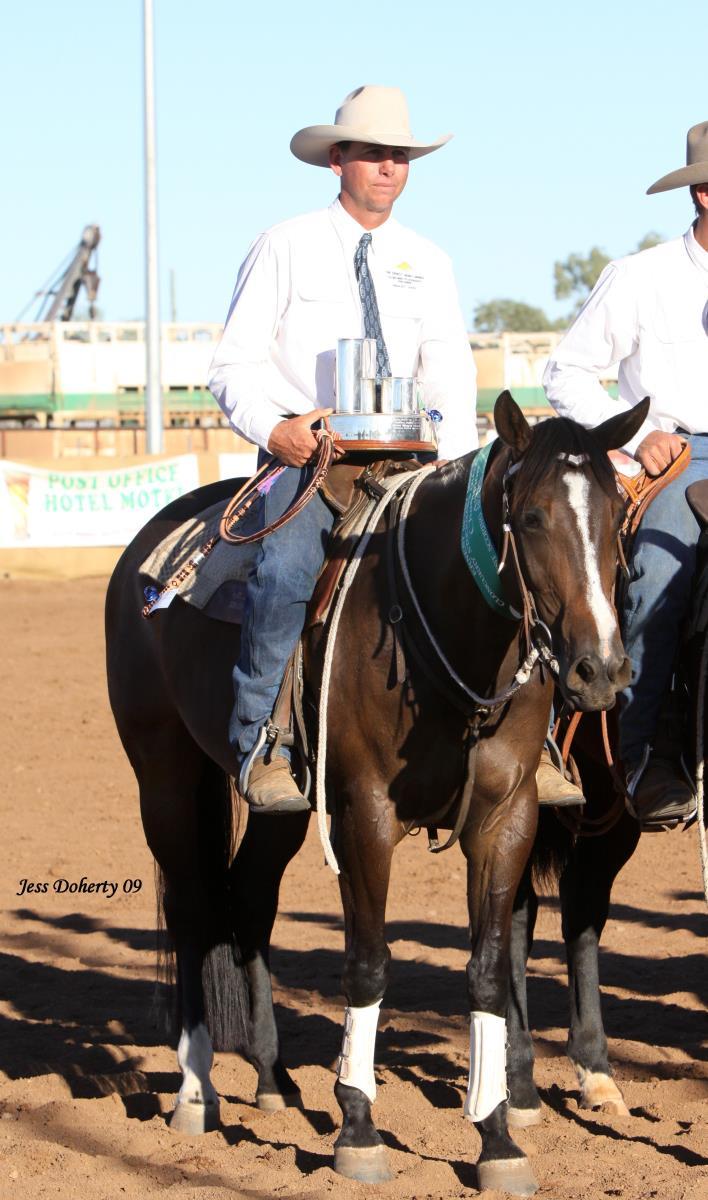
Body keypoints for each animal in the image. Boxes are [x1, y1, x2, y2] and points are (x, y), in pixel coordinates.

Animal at [105, 391, 648, 1197]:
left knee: (249, 899)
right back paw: (197, 1091)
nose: (600, 671)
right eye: (532, 516)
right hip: (164, 775)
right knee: (195, 907)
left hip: (280, 809)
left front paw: (496, 1138)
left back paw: (271, 1079)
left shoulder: (507, 818)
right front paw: (358, 1130)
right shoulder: (365, 815)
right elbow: (367, 962)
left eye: (615, 515)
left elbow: (488, 971)